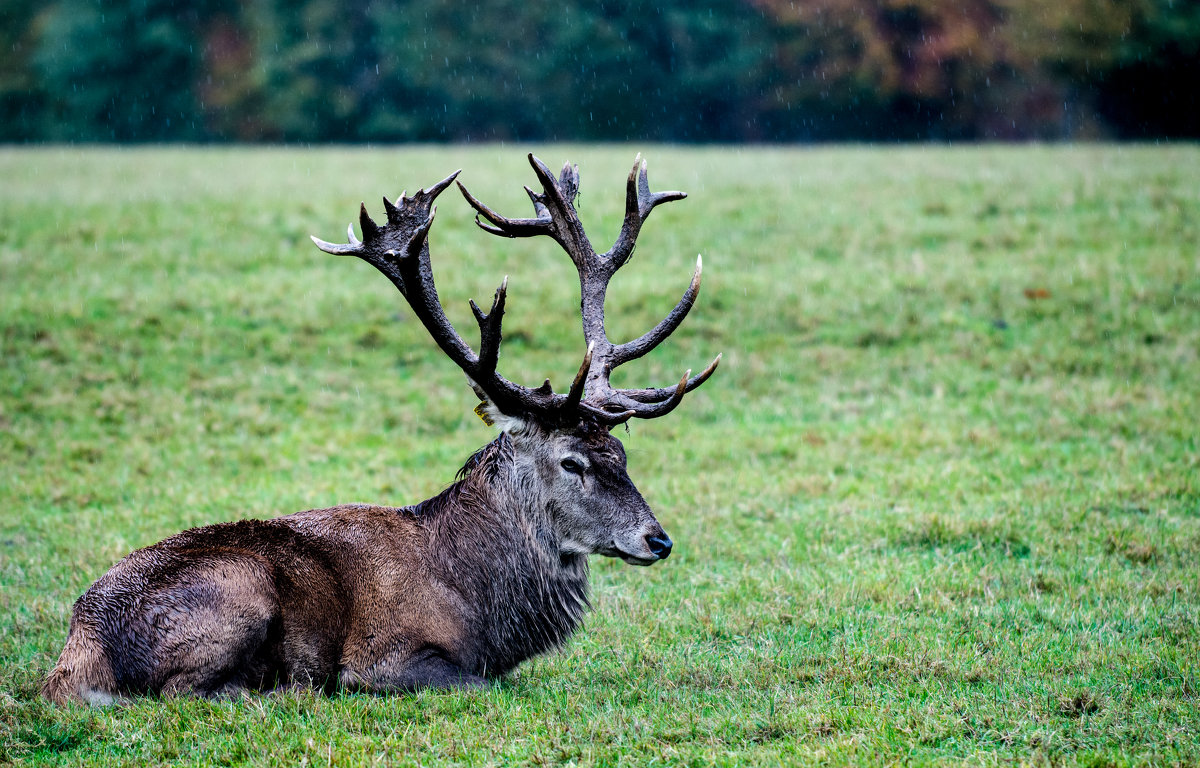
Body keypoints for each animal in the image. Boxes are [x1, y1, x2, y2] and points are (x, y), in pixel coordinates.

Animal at [44, 153, 720, 705]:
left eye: (621, 453)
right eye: (571, 461)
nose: (658, 540)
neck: (482, 607)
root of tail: (77, 657)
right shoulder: (387, 657)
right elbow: (476, 683)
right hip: (239, 590)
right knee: (187, 690)